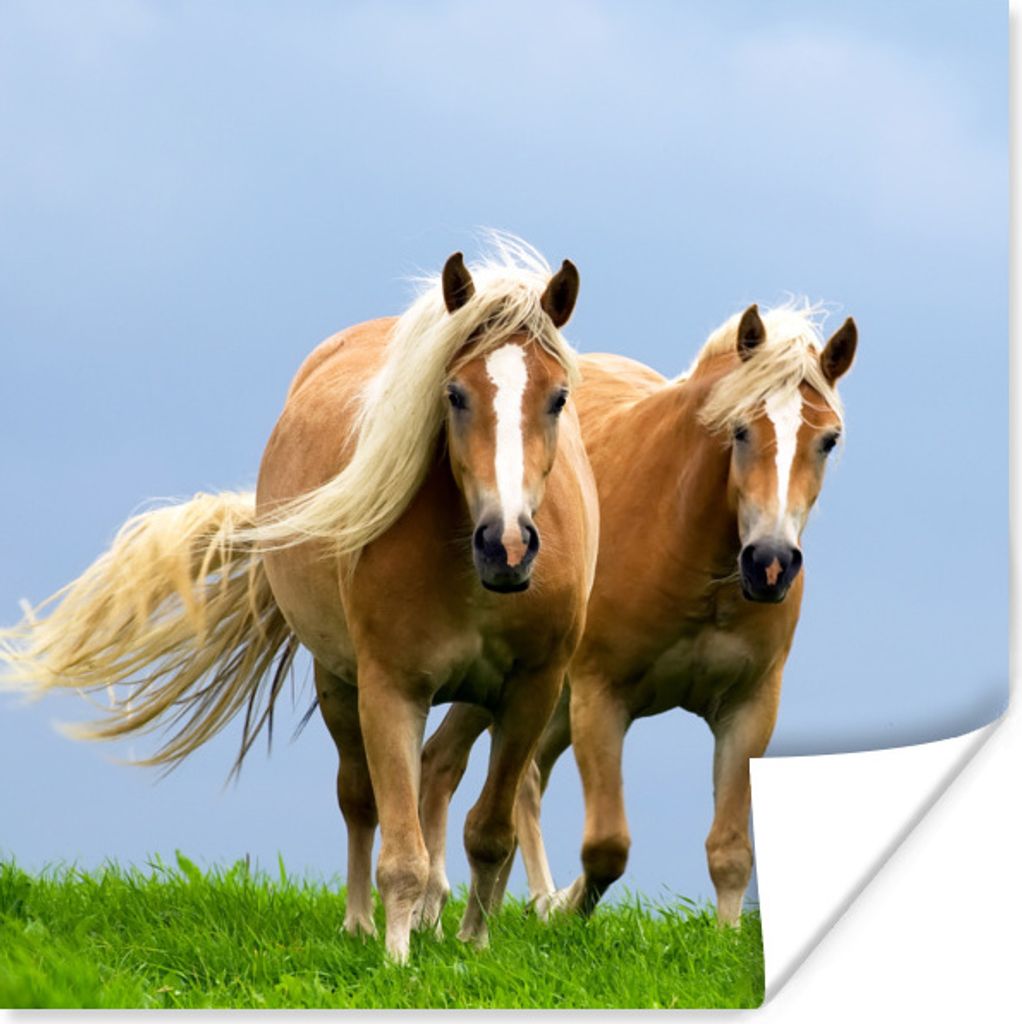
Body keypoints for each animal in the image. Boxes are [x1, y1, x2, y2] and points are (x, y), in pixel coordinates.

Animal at [0, 237, 600, 963]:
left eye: (558, 398)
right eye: (454, 394)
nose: (507, 545)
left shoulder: (530, 691)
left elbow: (490, 833)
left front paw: (474, 947)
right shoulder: (390, 688)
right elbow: (397, 847)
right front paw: (397, 961)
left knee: (439, 778)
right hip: (338, 681)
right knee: (360, 800)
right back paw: (363, 923)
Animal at [418, 301, 857, 926]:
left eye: (828, 440)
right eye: (740, 429)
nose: (770, 564)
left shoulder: (749, 708)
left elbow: (730, 851)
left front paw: (726, 935)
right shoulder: (601, 697)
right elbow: (607, 846)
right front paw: (563, 909)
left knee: (492, 771)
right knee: (464, 769)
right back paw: (462, 903)